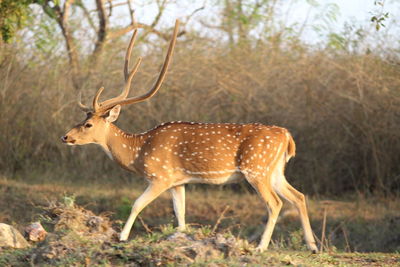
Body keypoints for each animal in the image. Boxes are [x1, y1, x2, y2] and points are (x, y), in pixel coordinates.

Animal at [61, 20, 318, 253]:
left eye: (88, 124)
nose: (65, 137)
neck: (138, 151)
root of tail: (286, 136)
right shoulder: (179, 181)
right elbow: (180, 214)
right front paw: (180, 239)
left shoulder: (161, 176)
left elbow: (136, 204)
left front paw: (122, 237)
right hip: (275, 170)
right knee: (298, 196)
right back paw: (312, 246)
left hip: (256, 168)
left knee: (275, 203)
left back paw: (261, 248)